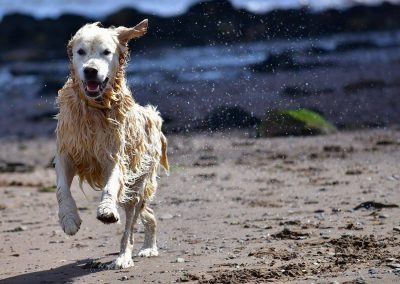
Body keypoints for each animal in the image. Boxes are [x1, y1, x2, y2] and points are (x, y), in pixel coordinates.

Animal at [53, 19, 169, 268]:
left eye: (106, 52)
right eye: (80, 52)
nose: (90, 70)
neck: (94, 108)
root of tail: (153, 116)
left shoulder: (114, 156)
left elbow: (110, 186)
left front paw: (106, 209)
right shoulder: (67, 153)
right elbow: (62, 190)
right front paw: (69, 220)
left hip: (137, 185)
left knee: (131, 226)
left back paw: (127, 256)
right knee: (149, 214)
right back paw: (148, 246)